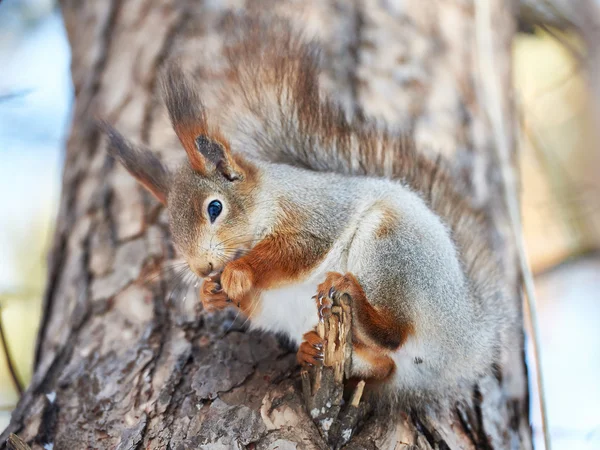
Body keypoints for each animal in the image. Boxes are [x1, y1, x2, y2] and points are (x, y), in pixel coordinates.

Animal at [102, 16, 516, 404]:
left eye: (215, 208)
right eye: (172, 232)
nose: (202, 268)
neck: (267, 198)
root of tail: (466, 339)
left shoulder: (315, 215)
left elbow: (296, 250)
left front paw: (239, 271)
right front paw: (209, 292)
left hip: (393, 249)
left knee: (394, 334)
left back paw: (353, 297)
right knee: (383, 364)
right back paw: (311, 350)